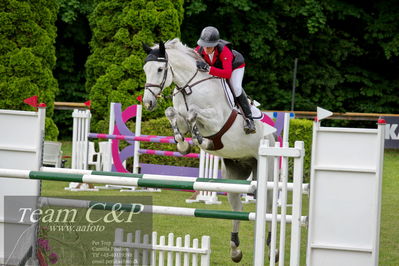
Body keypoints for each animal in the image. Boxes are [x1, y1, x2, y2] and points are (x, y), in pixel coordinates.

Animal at [144, 38, 278, 262]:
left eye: (160, 69)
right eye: (145, 69)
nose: (147, 103)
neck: (189, 87)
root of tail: (274, 136)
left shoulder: (216, 120)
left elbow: (193, 113)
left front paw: (203, 142)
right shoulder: (180, 118)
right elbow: (172, 113)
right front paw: (183, 144)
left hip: (266, 173)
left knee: (268, 207)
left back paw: (272, 250)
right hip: (235, 172)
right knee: (237, 207)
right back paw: (235, 250)